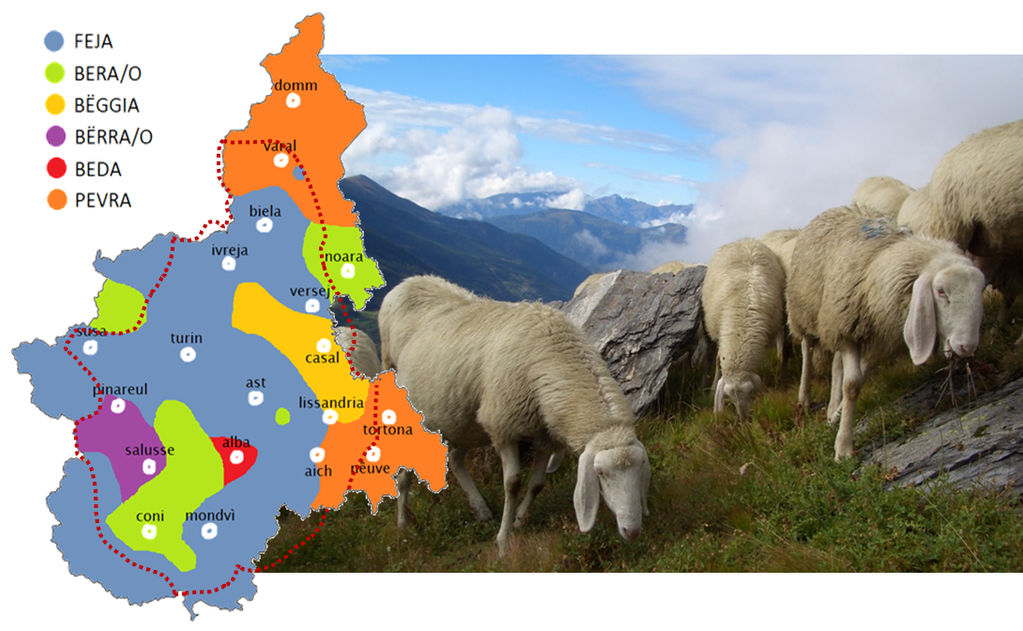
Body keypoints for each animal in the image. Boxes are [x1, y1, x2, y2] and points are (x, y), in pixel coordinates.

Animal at [378, 275, 650, 554]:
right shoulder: (503, 426)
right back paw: (402, 523)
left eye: (641, 467)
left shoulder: (545, 435)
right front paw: (503, 540)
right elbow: (513, 484)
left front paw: (519, 520)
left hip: (461, 420)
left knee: (455, 458)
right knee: (406, 470)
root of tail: (410, 281)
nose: (632, 531)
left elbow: (537, 483)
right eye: (600, 473)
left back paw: (481, 510)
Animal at [701, 238, 786, 420]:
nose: (742, 419)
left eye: (749, 393)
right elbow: (717, 361)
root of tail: (745, 239)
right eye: (729, 398)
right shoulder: (719, 335)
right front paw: (712, 389)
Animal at [787, 205, 985, 459]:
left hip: (834, 324)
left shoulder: (878, 337)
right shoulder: (847, 328)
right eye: (941, 292)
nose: (966, 346)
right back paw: (804, 399)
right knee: (807, 350)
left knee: (836, 362)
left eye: (981, 289)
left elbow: (858, 378)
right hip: (806, 313)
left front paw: (838, 416)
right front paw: (843, 448)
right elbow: (852, 385)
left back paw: (832, 409)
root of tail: (836, 208)